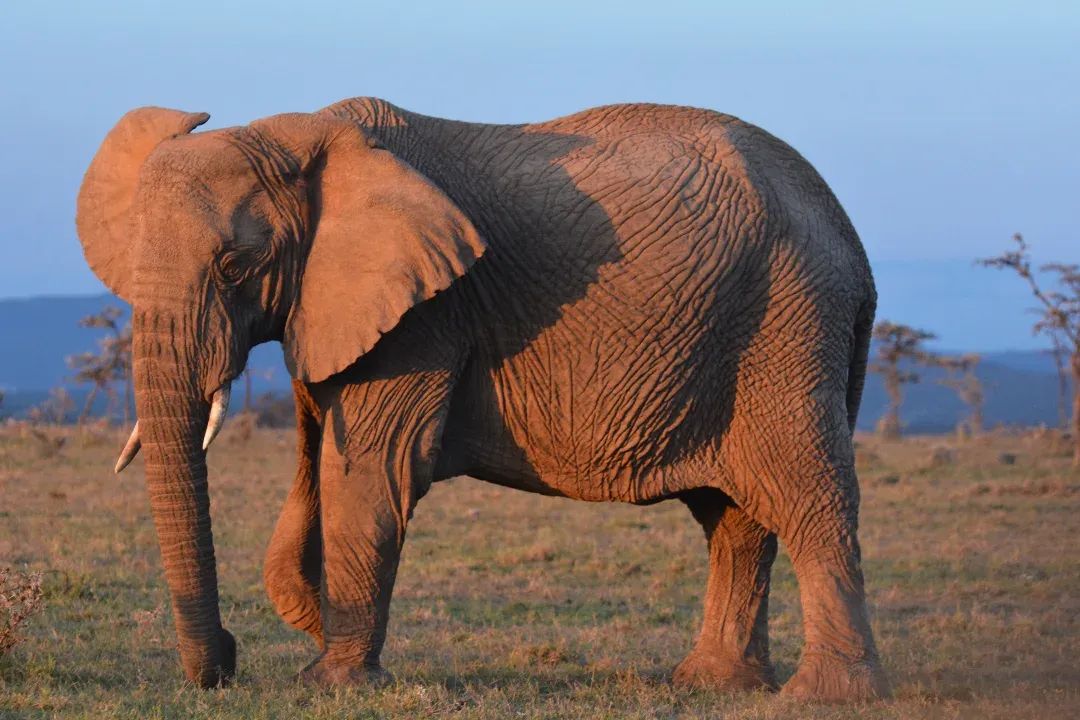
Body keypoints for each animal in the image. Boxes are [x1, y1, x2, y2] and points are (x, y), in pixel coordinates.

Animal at [76, 97, 887, 701]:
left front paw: (331, 683)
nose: (227, 664)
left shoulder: (427, 314)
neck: (294, 132)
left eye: (237, 265)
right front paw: (313, 632)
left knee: (806, 498)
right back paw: (713, 686)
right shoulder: (330, 305)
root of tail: (852, 242)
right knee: (735, 518)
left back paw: (825, 697)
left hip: (787, 330)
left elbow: (370, 473)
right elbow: (314, 467)